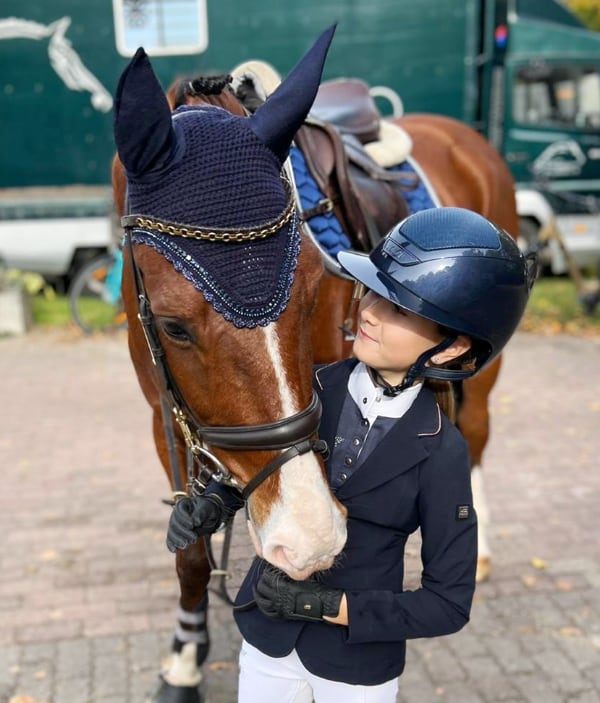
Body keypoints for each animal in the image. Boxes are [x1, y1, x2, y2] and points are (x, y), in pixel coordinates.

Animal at [112, 24, 346, 700]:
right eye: (172, 326)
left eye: (313, 292)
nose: (312, 536)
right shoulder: (164, 417)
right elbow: (190, 550)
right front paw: (186, 655)